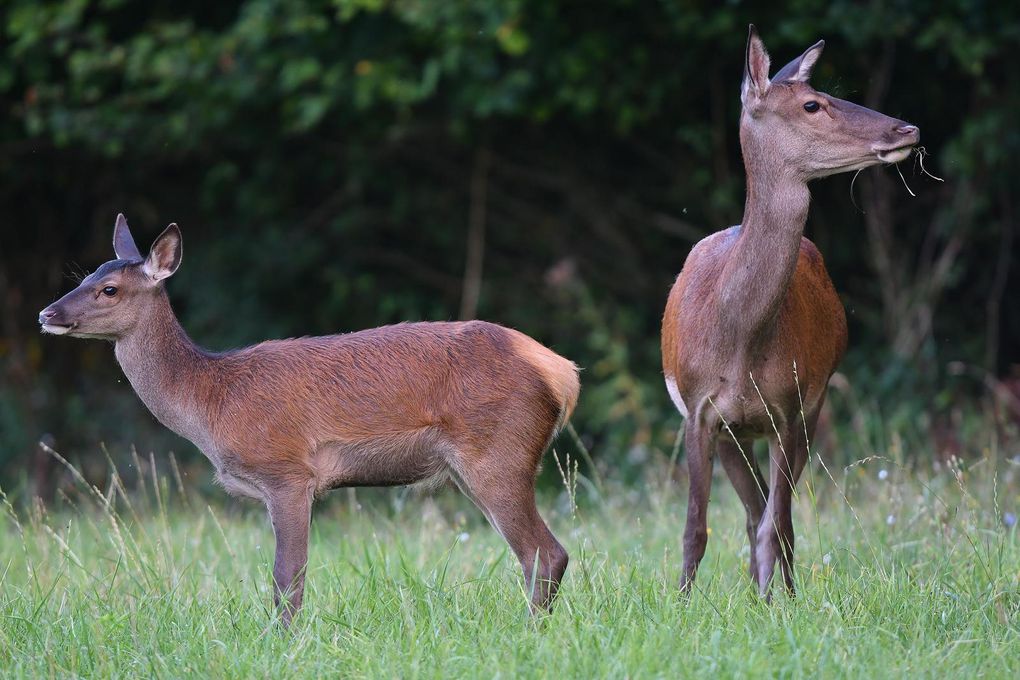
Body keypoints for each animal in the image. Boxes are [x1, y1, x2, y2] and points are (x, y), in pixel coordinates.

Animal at [37, 217, 583, 623]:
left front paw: (283, 641)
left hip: (498, 451)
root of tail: (562, 372)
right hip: (473, 467)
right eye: (82, 278)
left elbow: (288, 576)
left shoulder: (287, 471)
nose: (47, 314)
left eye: (109, 289)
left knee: (545, 553)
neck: (212, 401)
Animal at [665, 26, 922, 595]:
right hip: (737, 433)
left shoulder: (790, 405)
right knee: (751, 508)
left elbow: (777, 523)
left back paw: (770, 590)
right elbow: (695, 527)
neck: (738, 340)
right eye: (812, 103)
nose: (908, 128)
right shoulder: (698, 410)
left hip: (811, 407)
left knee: (768, 514)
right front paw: (682, 602)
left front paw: (780, 602)